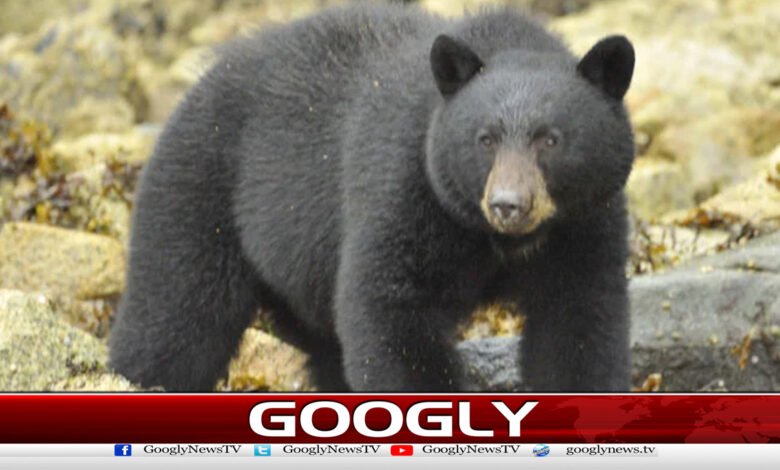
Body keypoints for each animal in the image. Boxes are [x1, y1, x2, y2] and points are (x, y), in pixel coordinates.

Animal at [109, 3, 636, 392]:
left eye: (551, 139)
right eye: (484, 139)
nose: (509, 204)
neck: (493, 238)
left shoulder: (586, 222)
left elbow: (579, 319)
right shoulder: (404, 186)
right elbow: (389, 308)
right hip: (199, 191)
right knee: (175, 317)